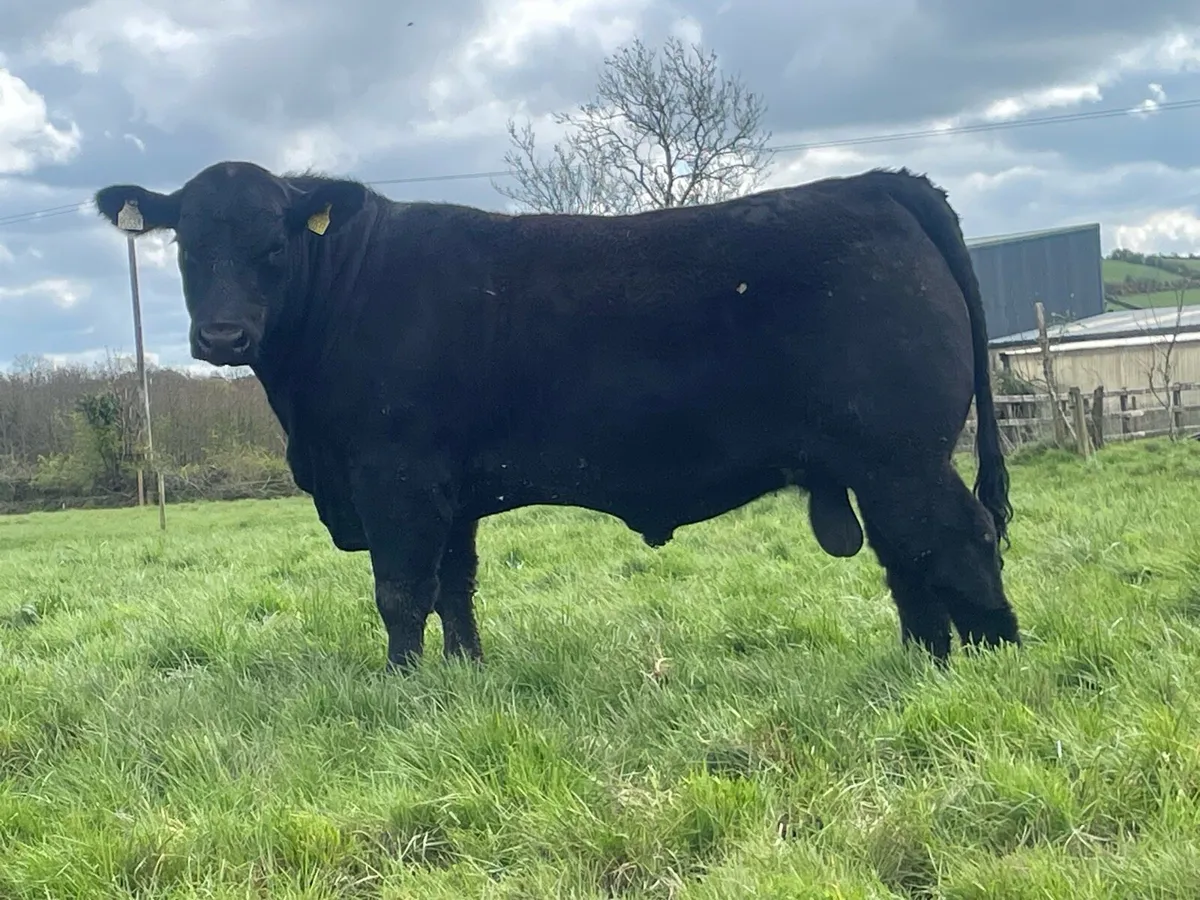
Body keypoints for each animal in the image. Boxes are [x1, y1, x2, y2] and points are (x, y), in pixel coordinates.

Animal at [93, 160, 1020, 672]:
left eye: (276, 242)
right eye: (186, 244)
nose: (222, 334)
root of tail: (876, 186)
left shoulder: (396, 475)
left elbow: (401, 591)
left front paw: (402, 686)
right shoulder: (451, 489)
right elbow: (453, 588)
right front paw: (464, 675)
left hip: (901, 451)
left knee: (958, 541)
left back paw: (993, 666)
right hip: (878, 462)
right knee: (910, 558)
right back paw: (926, 664)